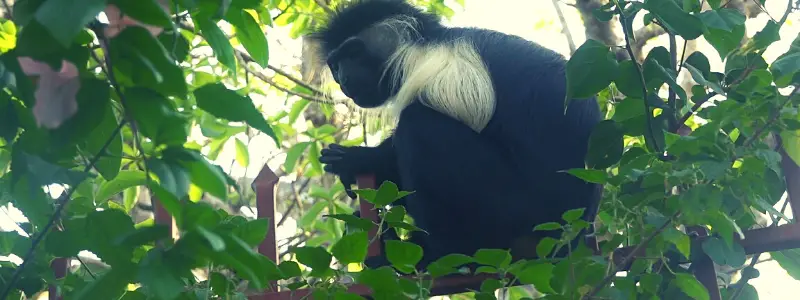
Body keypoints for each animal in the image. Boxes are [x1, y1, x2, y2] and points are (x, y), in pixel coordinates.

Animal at [312, 0, 600, 270]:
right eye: (335, 65)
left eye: (354, 53)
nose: (343, 78)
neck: (421, 43)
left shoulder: (431, 70)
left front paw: (356, 158)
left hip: (516, 205)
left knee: (418, 127)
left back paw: (436, 255)